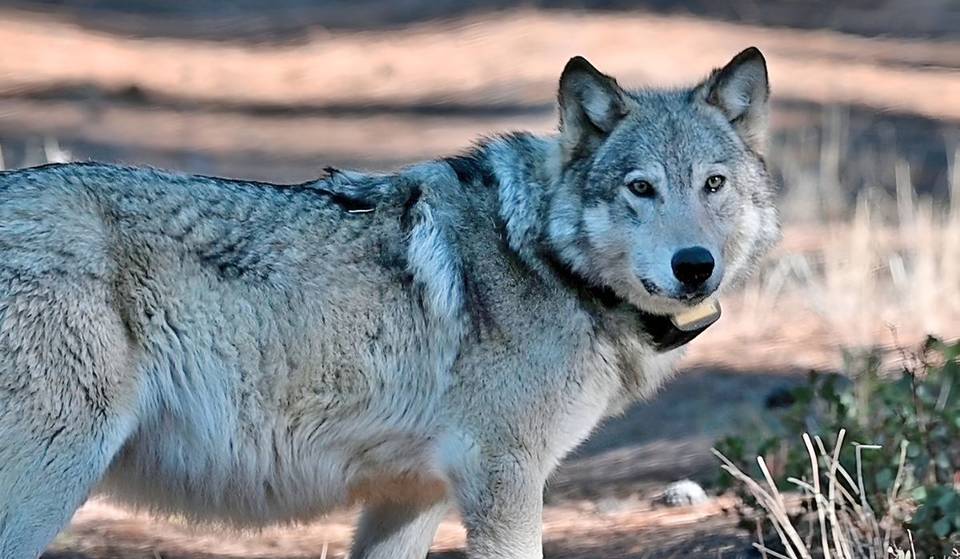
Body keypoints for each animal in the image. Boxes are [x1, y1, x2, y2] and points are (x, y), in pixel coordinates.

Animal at [0, 47, 778, 558]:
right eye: (641, 188)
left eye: (712, 184)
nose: (694, 266)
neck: (544, 257)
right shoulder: (505, 485)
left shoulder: (409, 496)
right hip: (50, 481)